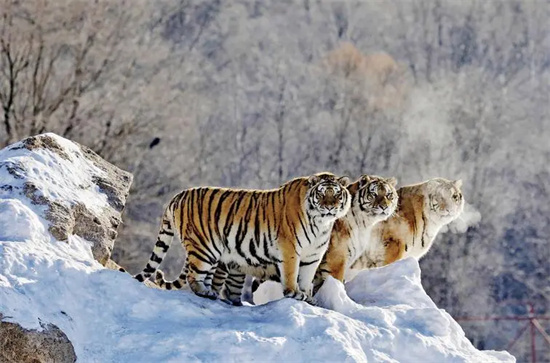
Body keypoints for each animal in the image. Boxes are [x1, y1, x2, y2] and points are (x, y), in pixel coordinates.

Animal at [135, 172, 352, 306]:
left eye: (337, 194)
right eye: (322, 194)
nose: (330, 207)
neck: (322, 224)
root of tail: (178, 196)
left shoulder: (312, 256)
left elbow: (306, 278)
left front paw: (308, 297)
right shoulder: (290, 249)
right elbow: (291, 274)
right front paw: (294, 293)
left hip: (212, 254)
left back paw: (211, 293)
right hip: (203, 248)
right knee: (193, 276)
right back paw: (205, 292)